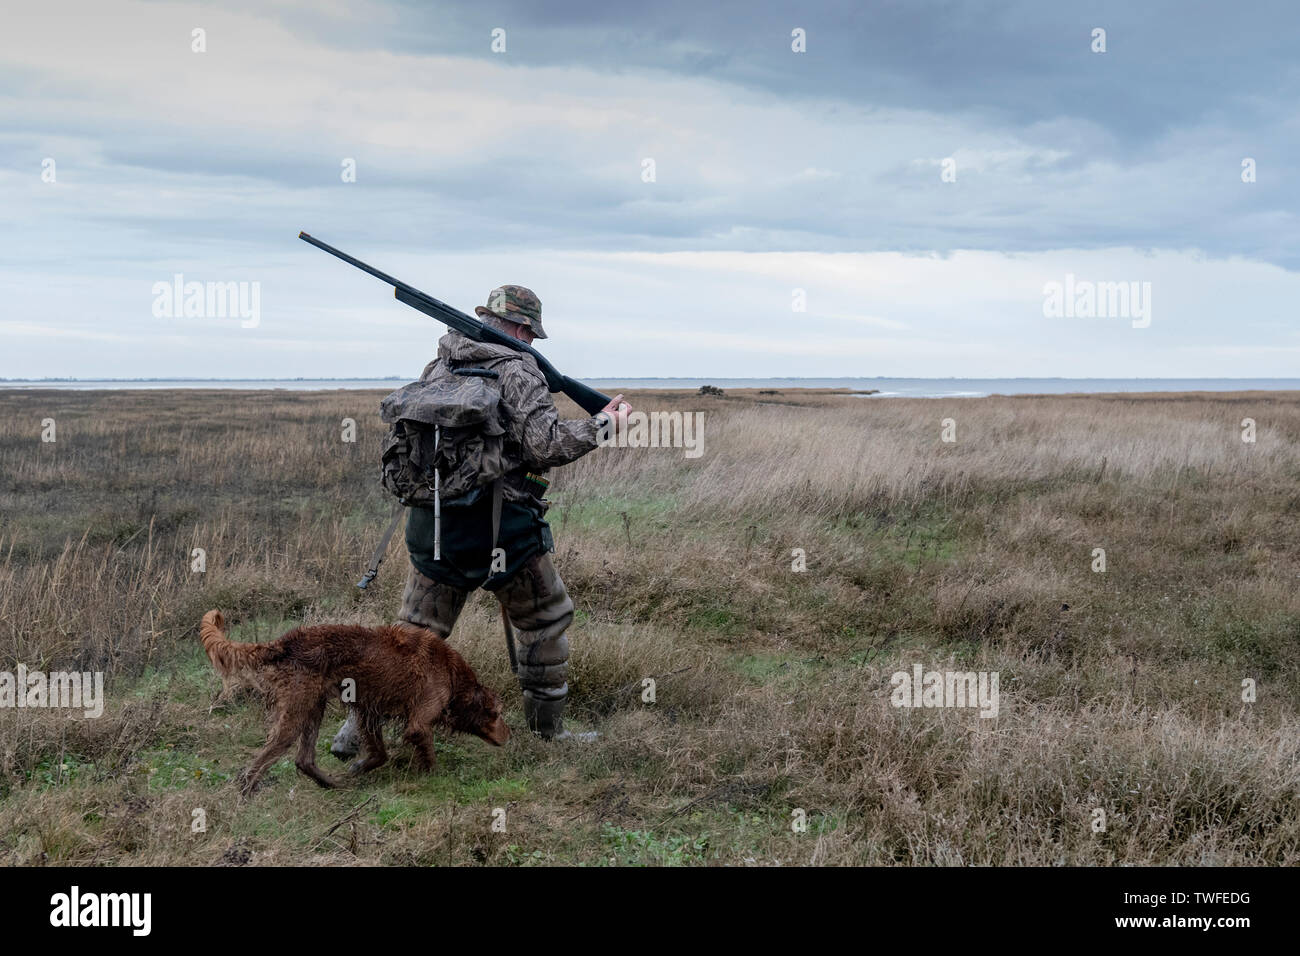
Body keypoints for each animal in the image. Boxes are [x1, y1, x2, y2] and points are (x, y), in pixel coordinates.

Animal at [200, 613, 509, 790]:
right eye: (497, 713)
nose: (509, 736)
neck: (452, 673)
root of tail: (284, 642)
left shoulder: (368, 711)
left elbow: (379, 753)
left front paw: (358, 768)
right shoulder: (419, 723)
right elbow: (426, 754)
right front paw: (436, 777)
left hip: (314, 707)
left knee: (303, 759)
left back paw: (330, 783)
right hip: (295, 713)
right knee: (263, 760)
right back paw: (245, 791)